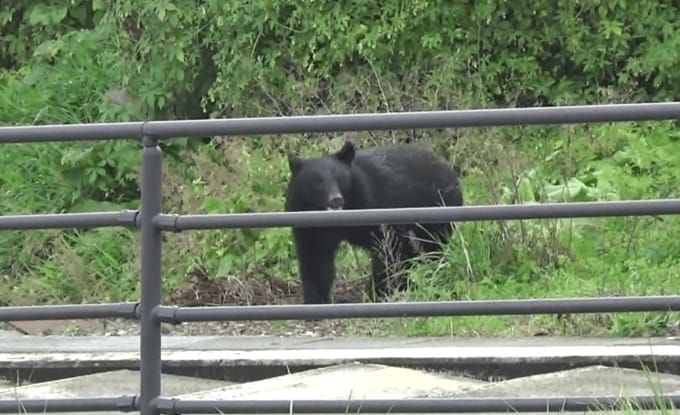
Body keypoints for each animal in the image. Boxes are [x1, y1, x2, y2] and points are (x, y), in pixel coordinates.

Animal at [285, 140, 463, 304]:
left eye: (339, 178)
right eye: (318, 182)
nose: (336, 200)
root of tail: (448, 168)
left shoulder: (378, 208)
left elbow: (388, 251)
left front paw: (379, 292)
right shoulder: (308, 220)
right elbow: (315, 256)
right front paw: (316, 299)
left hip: (437, 211)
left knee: (431, 246)